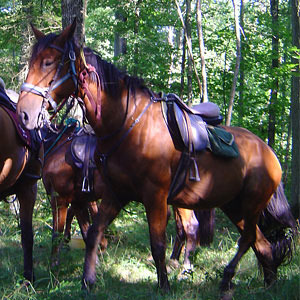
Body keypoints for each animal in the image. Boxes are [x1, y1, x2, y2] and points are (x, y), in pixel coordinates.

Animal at [42, 119, 214, 268]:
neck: (57, 145)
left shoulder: (60, 199)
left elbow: (57, 232)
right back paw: (174, 260)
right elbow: (85, 227)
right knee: (180, 227)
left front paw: (54, 264)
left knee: (190, 226)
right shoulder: (79, 200)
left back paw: (184, 265)